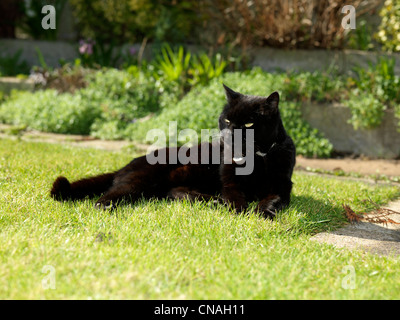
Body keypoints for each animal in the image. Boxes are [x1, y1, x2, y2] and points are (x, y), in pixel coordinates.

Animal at [50, 85, 296, 218]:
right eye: (226, 120)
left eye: (248, 125)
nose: (228, 134)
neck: (256, 158)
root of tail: (125, 166)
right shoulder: (230, 183)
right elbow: (235, 198)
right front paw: (241, 211)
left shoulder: (282, 186)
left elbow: (272, 199)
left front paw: (263, 212)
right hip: (141, 181)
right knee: (107, 196)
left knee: (173, 192)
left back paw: (212, 201)